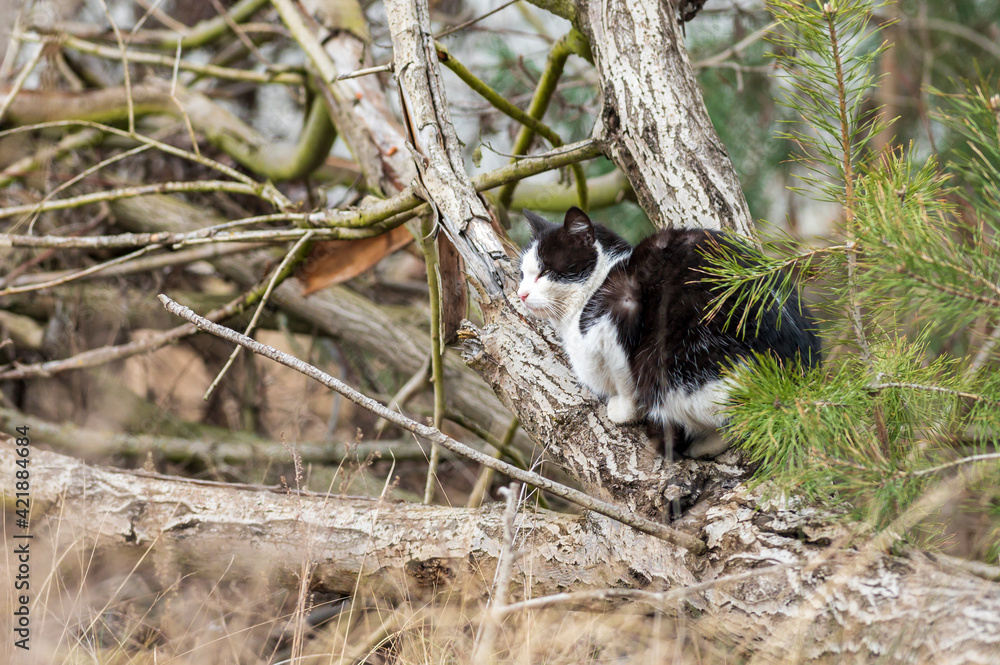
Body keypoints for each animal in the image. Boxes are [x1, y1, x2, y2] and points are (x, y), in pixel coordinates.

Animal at [516, 208, 820, 456]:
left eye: (545, 272)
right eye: (522, 274)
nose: (521, 294)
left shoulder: (615, 318)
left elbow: (625, 380)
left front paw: (623, 410)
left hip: (680, 365)